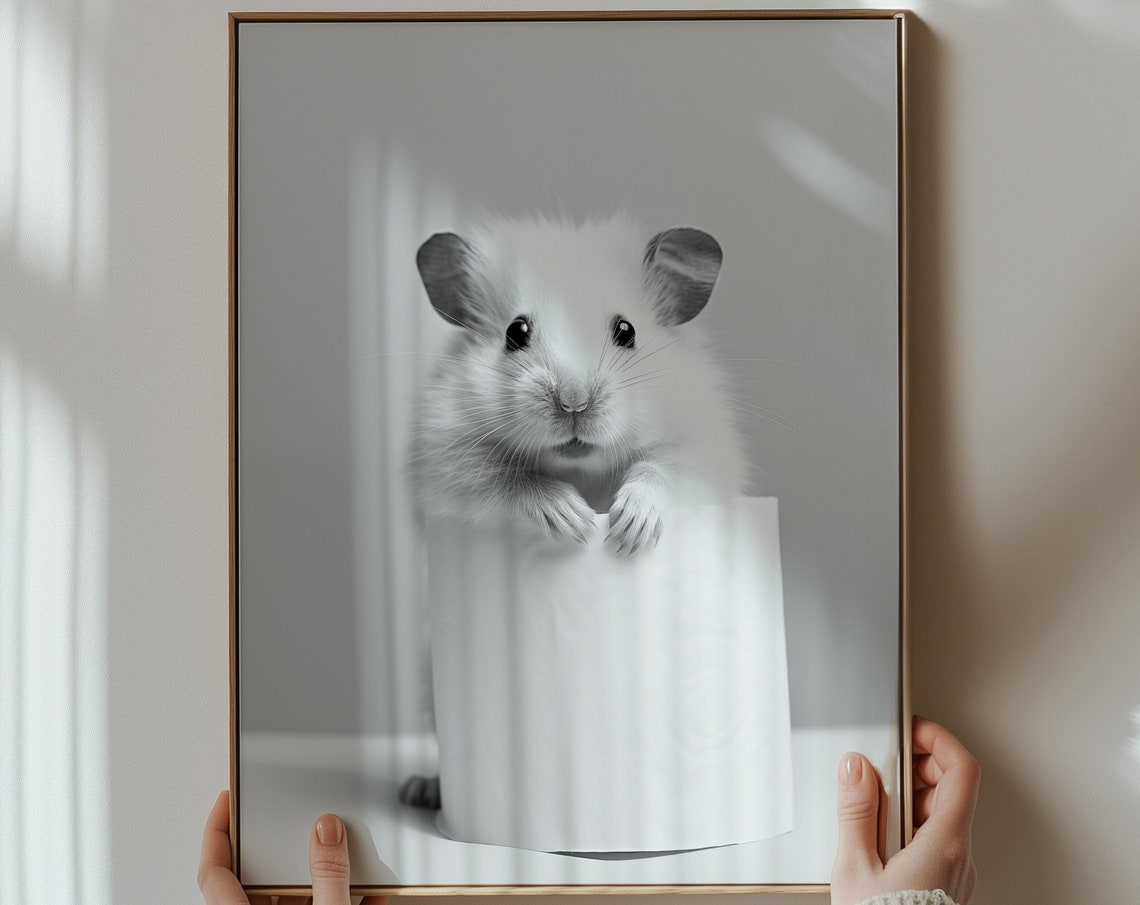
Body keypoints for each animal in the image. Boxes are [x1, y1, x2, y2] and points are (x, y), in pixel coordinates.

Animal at [410, 214, 747, 555]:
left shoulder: (700, 450)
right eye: (515, 332)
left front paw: (629, 533)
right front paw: (577, 522)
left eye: (626, 330)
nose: (574, 403)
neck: (579, 468)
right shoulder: (449, 461)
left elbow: (659, 470)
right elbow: (513, 480)